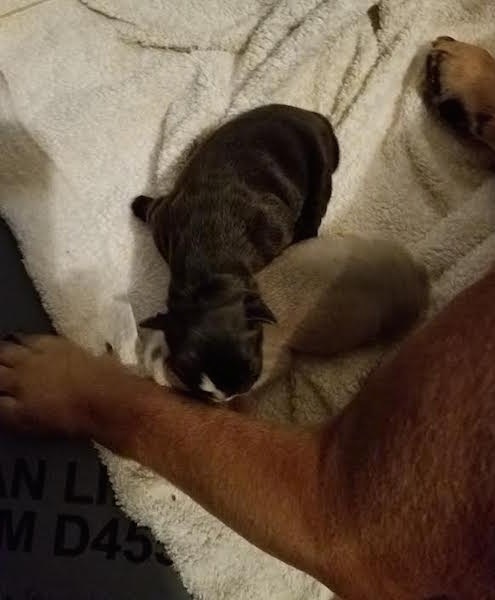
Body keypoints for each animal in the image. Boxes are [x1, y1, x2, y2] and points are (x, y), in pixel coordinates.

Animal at [134, 104, 340, 404]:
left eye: (253, 370)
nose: (230, 396)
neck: (206, 275)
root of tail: (310, 114)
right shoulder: (164, 219)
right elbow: (153, 208)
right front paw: (138, 204)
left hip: (318, 159)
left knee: (318, 197)